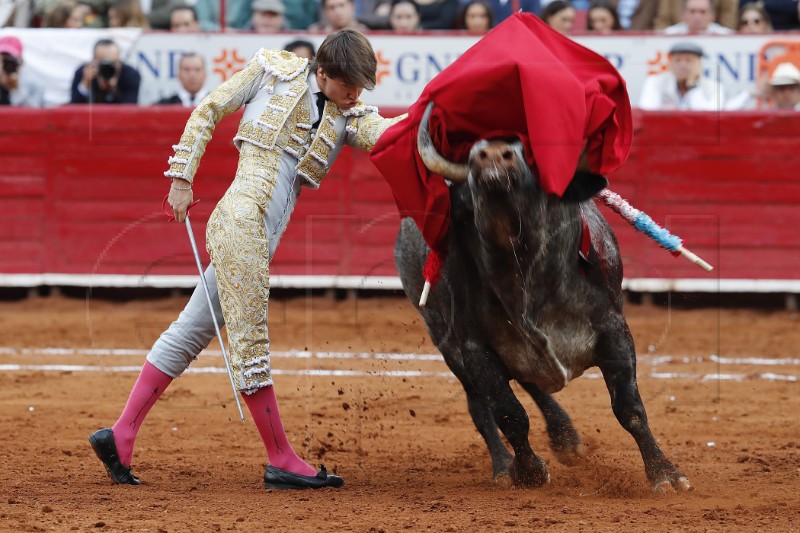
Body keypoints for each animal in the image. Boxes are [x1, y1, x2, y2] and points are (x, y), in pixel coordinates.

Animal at [390, 103, 692, 490]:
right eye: (466, 191)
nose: (491, 153)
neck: (523, 267)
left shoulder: (615, 331)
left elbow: (630, 408)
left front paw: (665, 475)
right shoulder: (474, 348)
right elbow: (508, 412)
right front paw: (529, 471)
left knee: (529, 382)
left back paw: (565, 439)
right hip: (446, 343)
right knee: (481, 405)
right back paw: (504, 465)